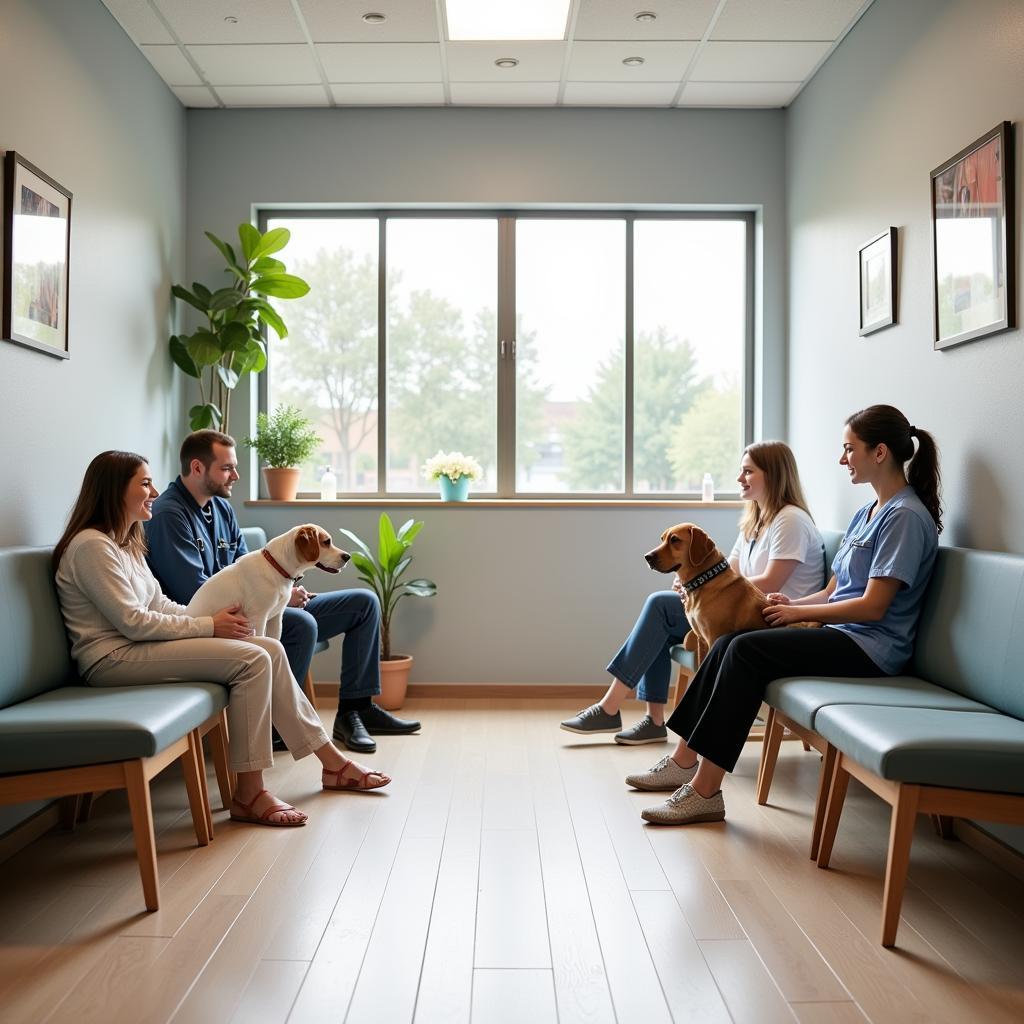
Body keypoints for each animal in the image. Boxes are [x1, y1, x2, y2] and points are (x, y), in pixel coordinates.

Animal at [647, 524, 782, 667]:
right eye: (662, 539)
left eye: (674, 539)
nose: (647, 557)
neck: (704, 580)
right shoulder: (701, 641)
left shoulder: (714, 638)